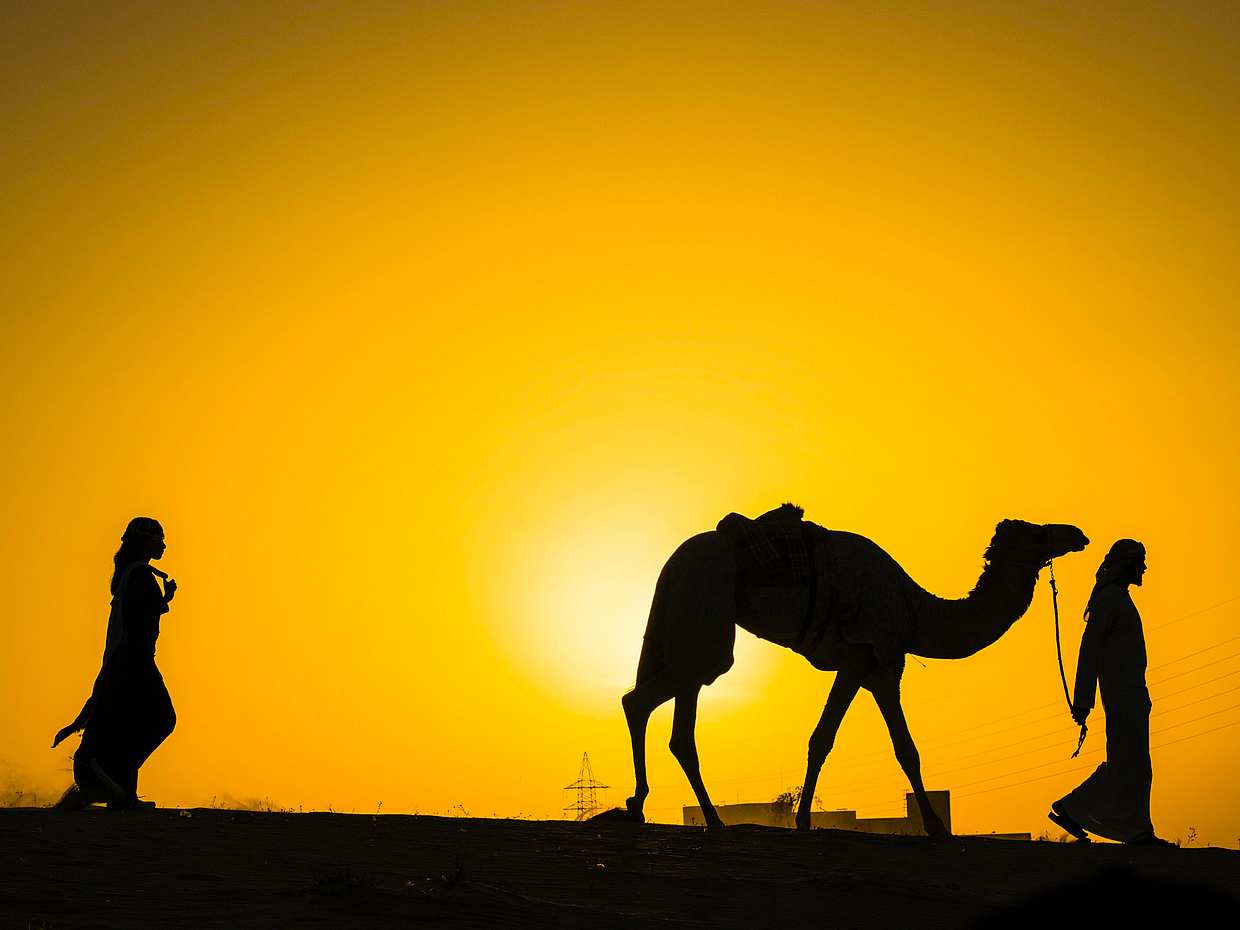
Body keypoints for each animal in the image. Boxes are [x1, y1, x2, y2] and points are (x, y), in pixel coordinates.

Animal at [620, 508, 1089, 836]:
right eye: (1036, 532)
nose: (1076, 534)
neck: (916, 611)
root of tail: (671, 565)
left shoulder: (863, 666)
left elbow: (829, 740)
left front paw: (803, 820)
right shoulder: (875, 660)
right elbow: (896, 747)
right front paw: (935, 826)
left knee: (638, 700)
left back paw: (639, 805)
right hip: (705, 619)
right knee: (680, 721)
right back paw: (712, 820)